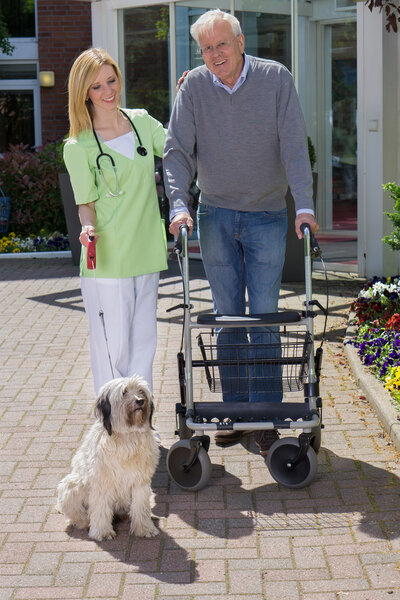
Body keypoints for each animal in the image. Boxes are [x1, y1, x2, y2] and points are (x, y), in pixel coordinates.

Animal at [56, 378, 159, 540]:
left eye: (141, 391)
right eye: (124, 392)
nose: (140, 401)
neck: (127, 437)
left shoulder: (140, 482)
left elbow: (141, 507)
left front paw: (144, 529)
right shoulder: (102, 482)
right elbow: (100, 508)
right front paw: (102, 532)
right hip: (71, 485)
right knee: (78, 515)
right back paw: (85, 522)